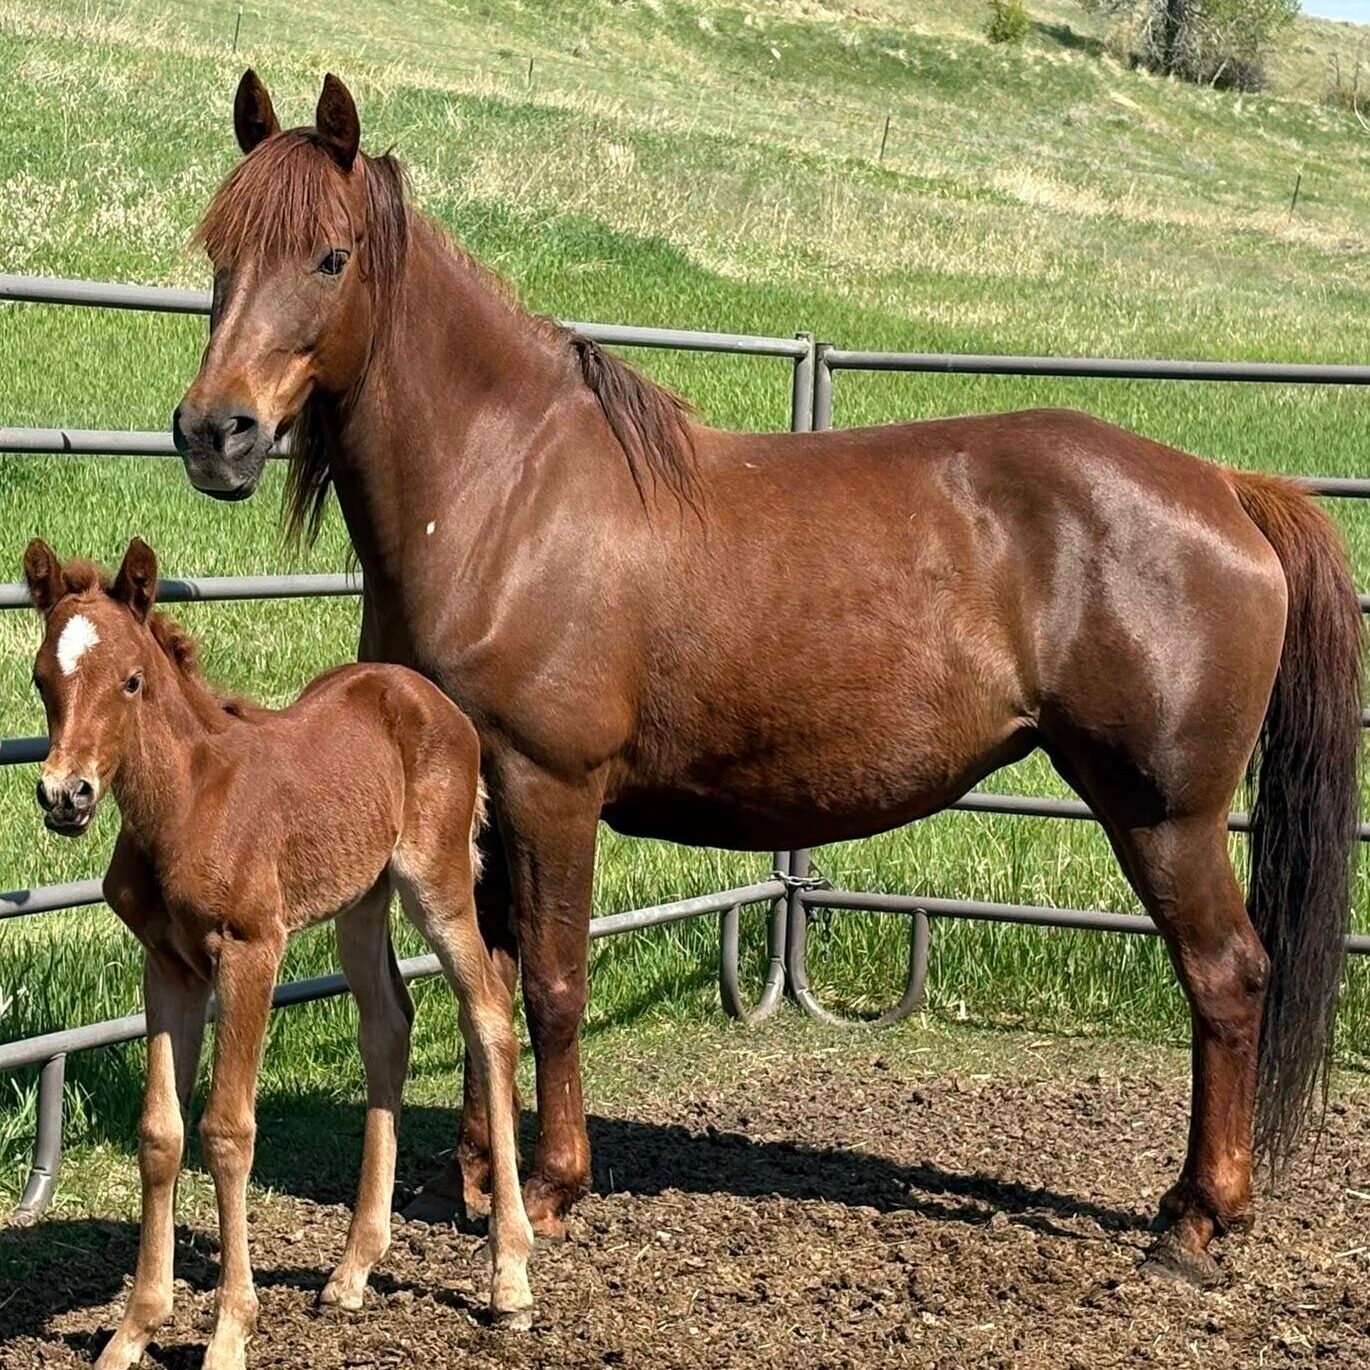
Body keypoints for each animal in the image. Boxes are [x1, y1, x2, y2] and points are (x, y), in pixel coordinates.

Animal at [23, 537, 535, 1370]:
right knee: (388, 1025)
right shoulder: (168, 967)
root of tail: (428, 696)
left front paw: (231, 1330)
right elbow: (161, 1133)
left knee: (488, 1013)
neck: (186, 802)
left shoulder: (251, 950)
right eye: (42, 677)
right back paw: (352, 1271)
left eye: (131, 680)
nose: (66, 797)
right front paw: (134, 1331)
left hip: (436, 879)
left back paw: (511, 1280)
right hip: (360, 900)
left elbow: (228, 1130)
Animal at [171, 69, 1362, 1285]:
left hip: (1164, 814)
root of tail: (1226, 487)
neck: (504, 490)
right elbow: (484, 979)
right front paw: (468, 1180)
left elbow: (550, 981)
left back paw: (1197, 1218)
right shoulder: (474, 795)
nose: (215, 432)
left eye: (331, 256)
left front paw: (550, 1186)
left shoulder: (551, 786)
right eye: (219, 248)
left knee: (1226, 976)